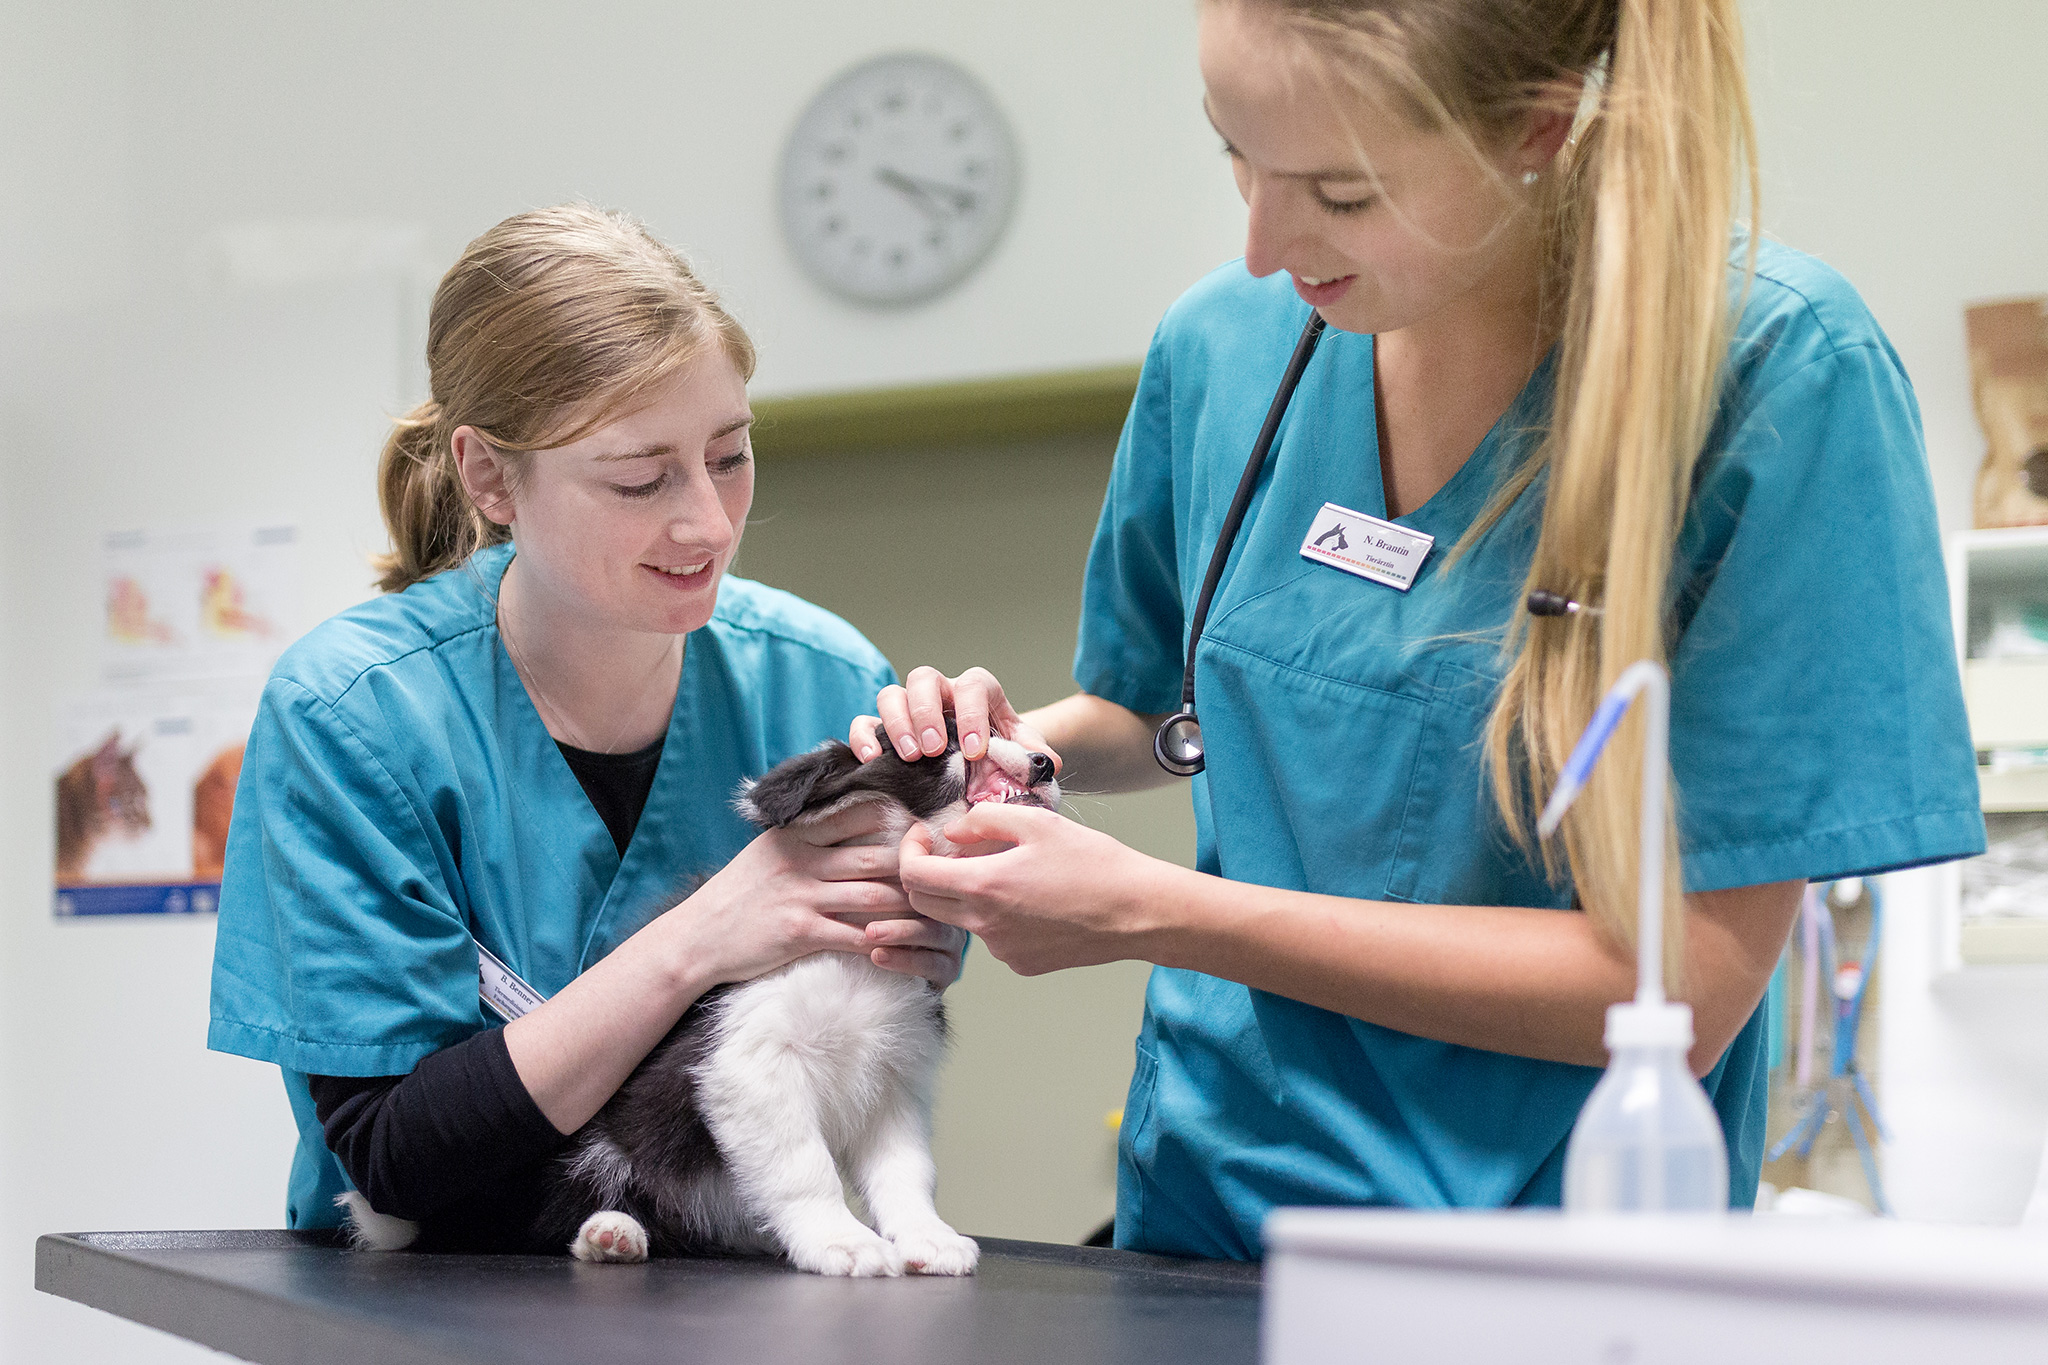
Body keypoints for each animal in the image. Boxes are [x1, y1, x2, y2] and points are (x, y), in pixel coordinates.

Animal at [339, 732, 1056, 1277]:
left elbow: (906, 1173)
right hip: (602, 1145)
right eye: (949, 744)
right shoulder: (748, 1061)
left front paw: (927, 1239)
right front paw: (840, 1241)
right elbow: (805, 1166)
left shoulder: (893, 1080)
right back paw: (611, 1234)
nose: (1047, 761)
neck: (855, 953)